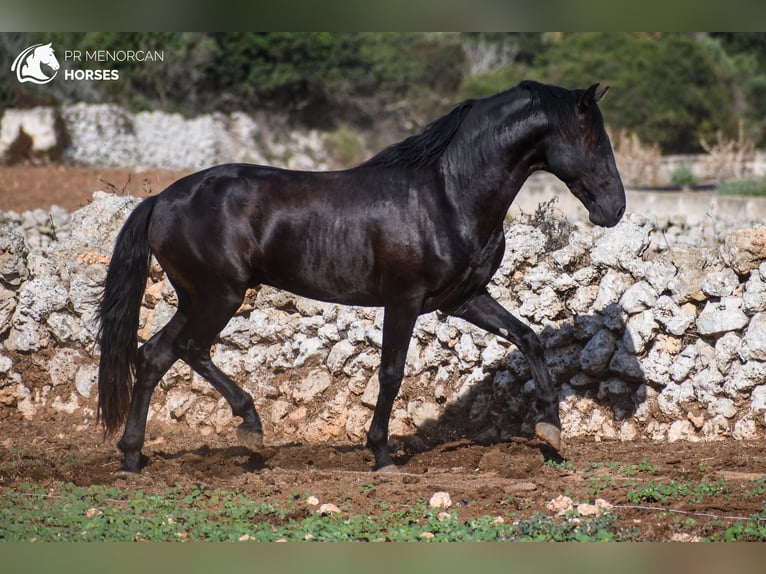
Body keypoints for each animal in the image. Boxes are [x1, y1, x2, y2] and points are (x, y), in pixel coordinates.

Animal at [97, 81, 624, 476]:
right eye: (594, 139)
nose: (614, 209)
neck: (447, 196)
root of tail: (161, 200)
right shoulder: (404, 300)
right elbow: (391, 373)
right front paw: (382, 455)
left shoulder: (464, 299)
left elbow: (528, 338)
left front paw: (551, 434)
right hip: (218, 295)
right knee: (187, 350)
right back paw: (251, 429)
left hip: (197, 298)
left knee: (153, 356)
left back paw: (132, 459)